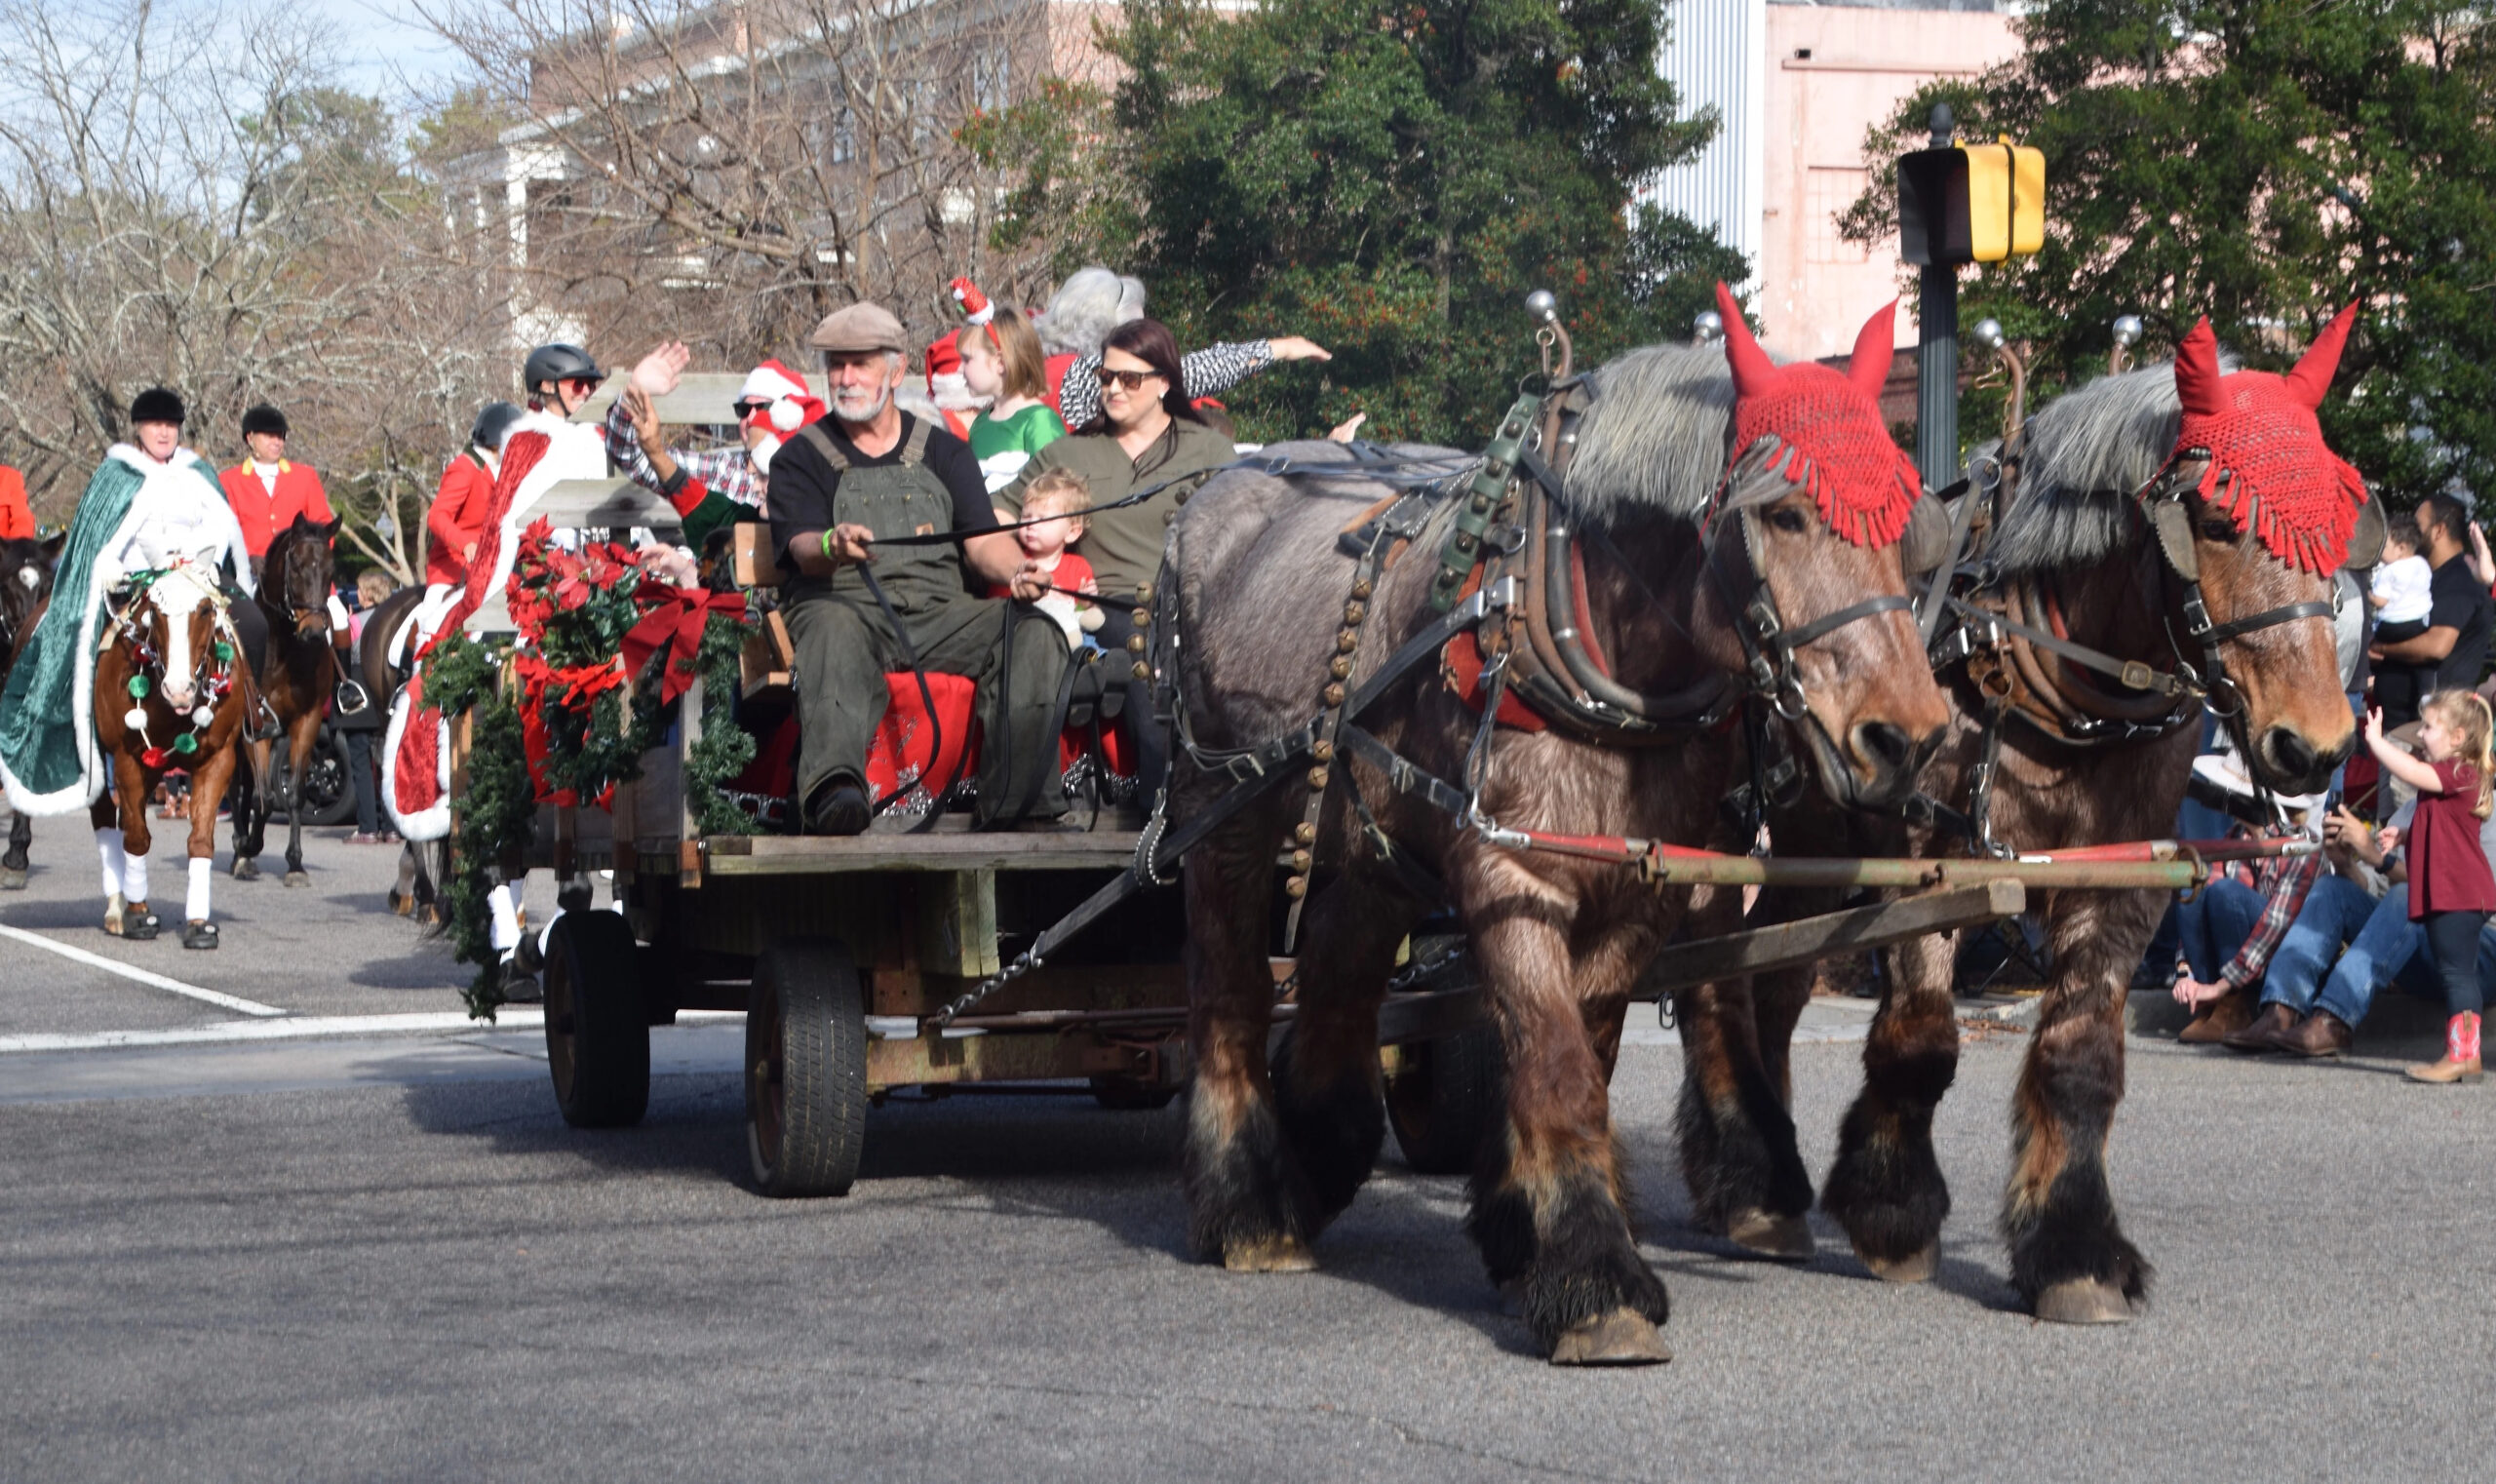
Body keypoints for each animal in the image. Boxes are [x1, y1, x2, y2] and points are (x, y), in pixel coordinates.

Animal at [1157, 291, 1957, 1366]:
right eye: (1783, 513)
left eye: (1908, 523)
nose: (1906, 737)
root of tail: (1216, 488)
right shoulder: (1512, 878)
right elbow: (1560, 1068)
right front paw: (1594, 1280)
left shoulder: (1637, 891)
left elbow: (1581, 1056)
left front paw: (1523, 1234)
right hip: (1222, 820)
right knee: (1229, 994)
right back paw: (1248, 1207)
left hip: (1377, 843)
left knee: (1338, 971)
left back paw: (1318, 1150)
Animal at [1687, 301, 2365, 1326]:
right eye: (2213, 520)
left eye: (2339, 524)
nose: (2316, 745)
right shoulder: (1931, 864)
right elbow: (1920, 1040)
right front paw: (1892, 1212)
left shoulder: (2119, 881)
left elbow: (2081, 1058)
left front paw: (2073, 1251)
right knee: (1716, 979)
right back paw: (1747, 1178)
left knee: (1772, 981)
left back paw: (1765, 1176)